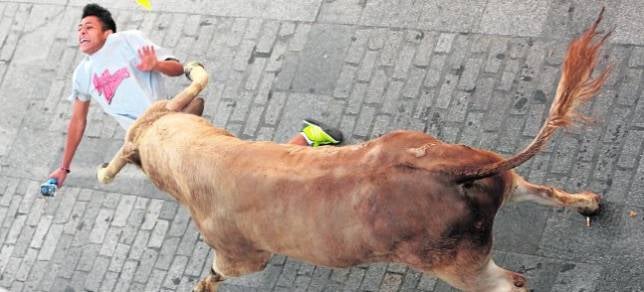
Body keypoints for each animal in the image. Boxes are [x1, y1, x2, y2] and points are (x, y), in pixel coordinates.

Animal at [97, 10, 608, 290]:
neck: (199, 156)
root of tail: (450, 172)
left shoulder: (240, 255)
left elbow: (220, 270)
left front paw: (203, 283)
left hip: (460, 267)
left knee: (512, 284)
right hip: (498, 178)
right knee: (543, 192)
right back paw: (589, 203)